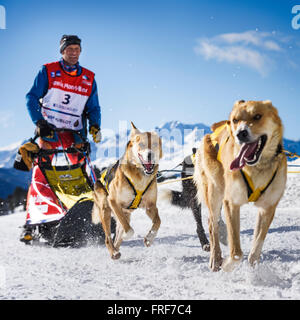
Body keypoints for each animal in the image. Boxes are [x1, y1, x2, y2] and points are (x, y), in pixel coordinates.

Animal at [92, 121, 163, 258]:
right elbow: (129, 230)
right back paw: (113, 251)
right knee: (108, 237)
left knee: (117, 236)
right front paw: (127, 235)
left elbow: (158, 222)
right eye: (141, 144)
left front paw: (149, 238)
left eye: (155, 144)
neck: (140, 177)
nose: (150, 155)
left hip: (124, 213)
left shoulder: (150, 206)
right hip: (105, 208)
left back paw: (116, 249)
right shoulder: (113, 201)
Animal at [193, 99, 288, 270]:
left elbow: (256, 247)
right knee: (212, 225)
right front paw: (227, 266)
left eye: (257, 116)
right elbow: (236, 252)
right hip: (215, 191)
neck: (256, 167)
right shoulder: (231, 203)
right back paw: (215, 258)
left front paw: (253, 269)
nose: (240, 133)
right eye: (236, 120)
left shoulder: (268, 208)